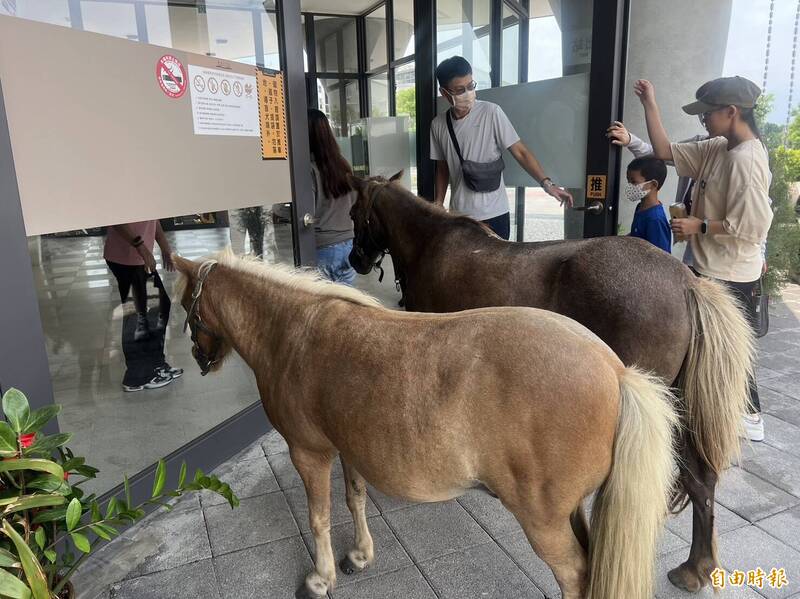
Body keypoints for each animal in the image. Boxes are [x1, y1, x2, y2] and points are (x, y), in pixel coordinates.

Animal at [173, 252, 676, 599]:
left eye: (185, 306)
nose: (200, 358)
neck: (294, 332)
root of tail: (616, 372)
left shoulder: (309, 452)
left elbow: (318, 516)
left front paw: (320, 578)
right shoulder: (348, 446)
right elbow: (355, 498)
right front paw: (359, 555)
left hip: (544, 521)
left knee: (575, 575)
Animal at [348, 175, 756, 596]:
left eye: (353, 213)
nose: (354, 261)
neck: (431, 243)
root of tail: (687, 282)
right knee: (701, 480)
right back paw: (697, 566)